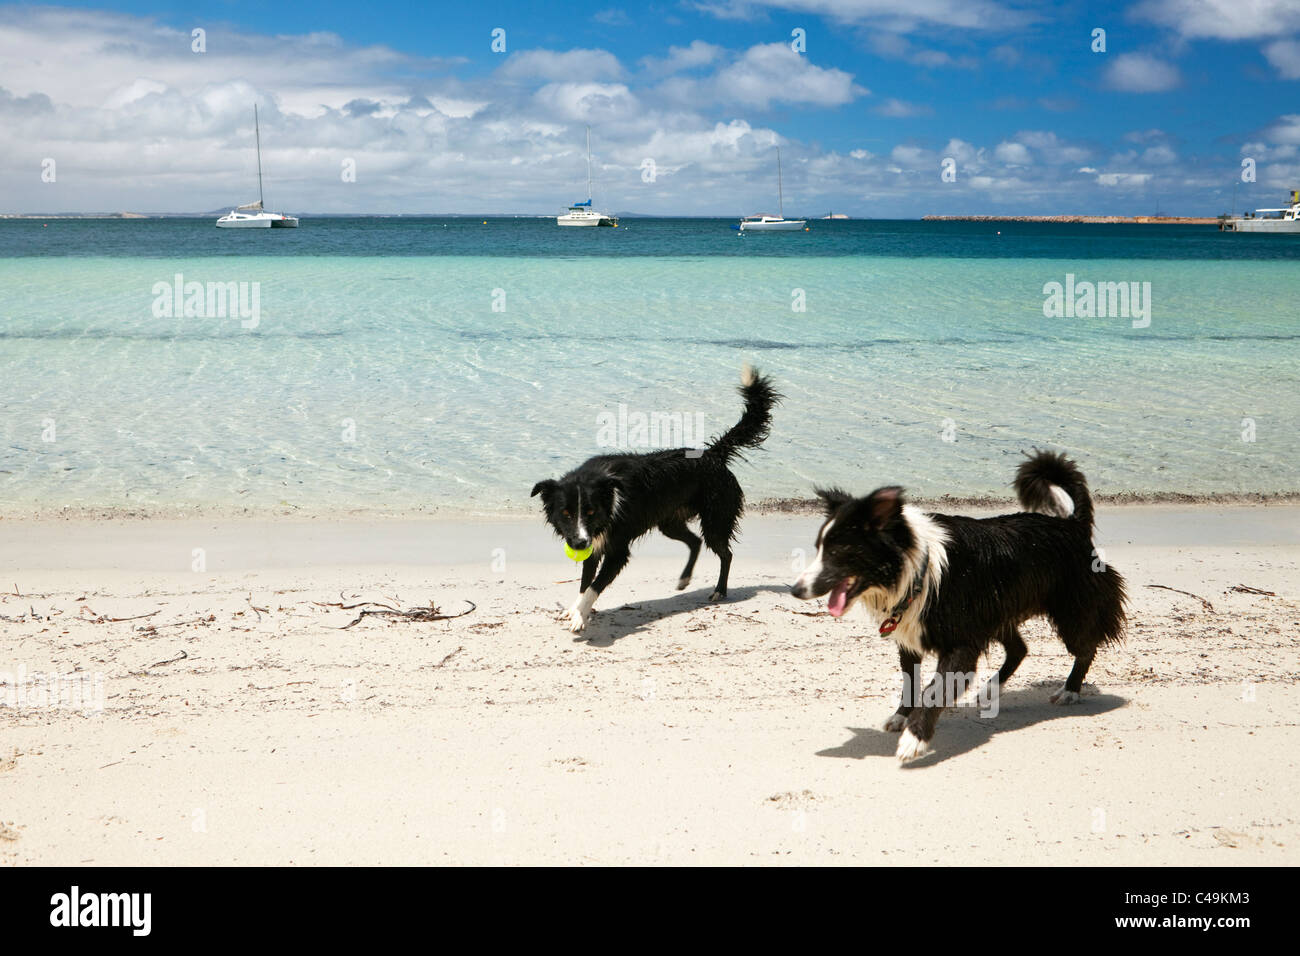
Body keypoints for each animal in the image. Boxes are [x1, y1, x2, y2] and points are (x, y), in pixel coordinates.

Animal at [530, 366, 774, 634]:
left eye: (591, 512)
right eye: (566, 513)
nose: (578, 544)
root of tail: (712, 454)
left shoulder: (617, 551)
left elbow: (594, 586)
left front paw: (579, 616)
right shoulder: (594, 547)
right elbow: (585, 583)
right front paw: (576, 610)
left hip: (716, 518)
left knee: (725, 553)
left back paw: (719, 591)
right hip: (669, 522)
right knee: (695, 541)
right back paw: (684, 579)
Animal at [790, 452, 1128, 764]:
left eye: (838, 552)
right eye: (819, 548)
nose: (795, 590)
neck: (917, 568)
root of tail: (1072, 524)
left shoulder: (961, 644)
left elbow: (933, 691)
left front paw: (914, 739)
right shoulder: (912, 637)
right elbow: (911, 681)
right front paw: (901, 716)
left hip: (1071, 610)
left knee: (1085, 647)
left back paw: (1070, 690)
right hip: (996, 613)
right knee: (1019, 649)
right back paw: (990, 690)